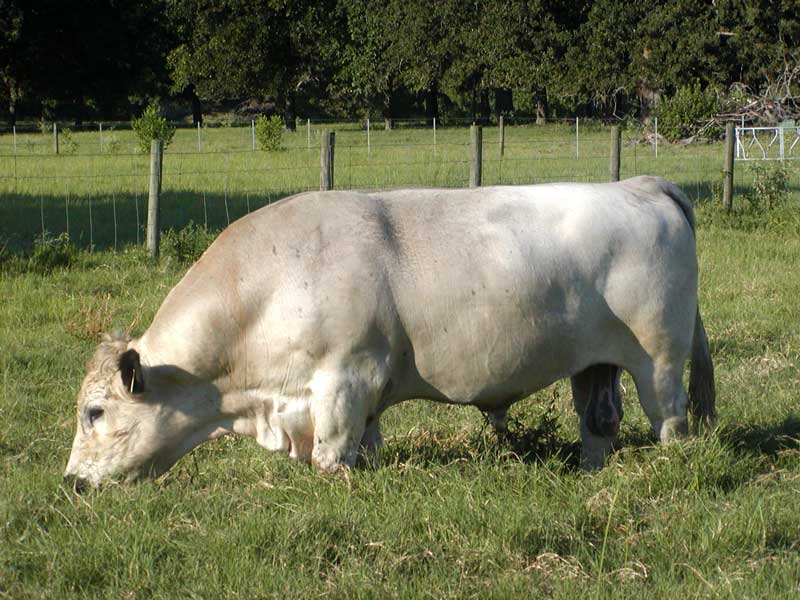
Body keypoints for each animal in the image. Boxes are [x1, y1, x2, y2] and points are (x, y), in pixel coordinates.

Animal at [64, 177, 712, 488]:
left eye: (95, 412)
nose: (71, 483)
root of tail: (637, 185)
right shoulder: (359, 393)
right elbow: (365, 446)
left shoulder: (344, 379)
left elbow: (331, 455)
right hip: (593, 363)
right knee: (598, 420)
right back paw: (587, 472)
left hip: (658, 359)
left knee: (670, 421)